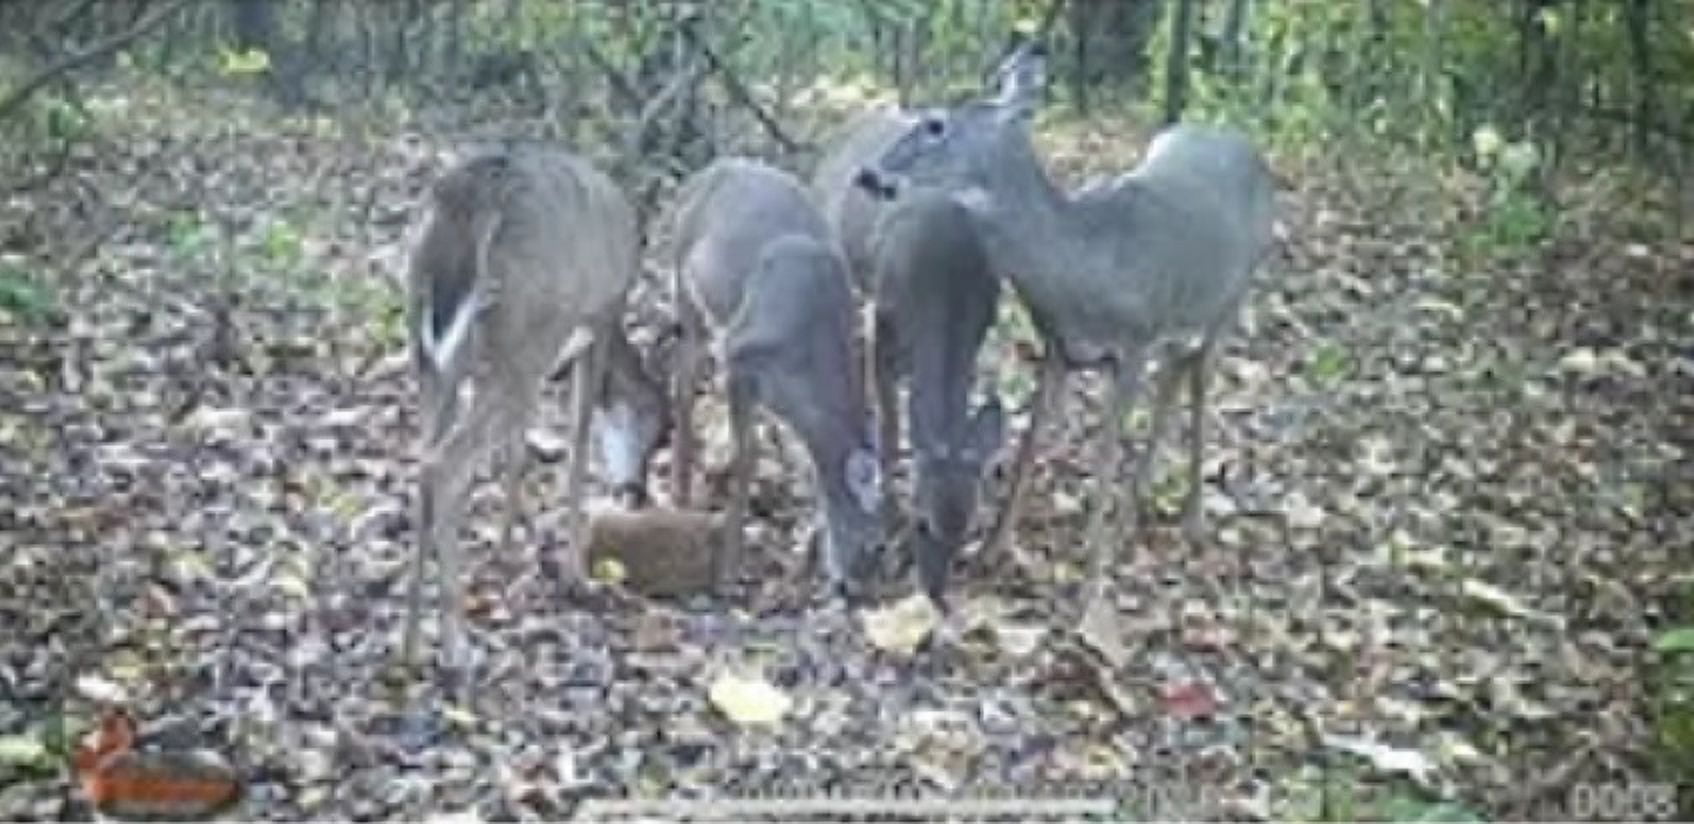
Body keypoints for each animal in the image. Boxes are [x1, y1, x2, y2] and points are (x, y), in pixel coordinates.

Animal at [404, 143, 668, 674]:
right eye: (659, 427)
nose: (637, 491)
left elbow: (518, 447)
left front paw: (506, 545)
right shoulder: (600, 314)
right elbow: (579, 439)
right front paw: (576, 576)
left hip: (437, 347)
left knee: (426, 457)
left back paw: (411, 643)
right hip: (527, 330)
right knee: (447, 461)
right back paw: (456, 648)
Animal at [668, 157, 883, 598]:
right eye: (877, 545)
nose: (854, 588)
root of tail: (704, 173)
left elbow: (807, 472)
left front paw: (801, 568)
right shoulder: (739, 355)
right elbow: (746, 457)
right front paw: (729, 573)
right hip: (684, 284)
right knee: (682, 385)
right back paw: (677, 494)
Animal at [857, 53, 1277, 622]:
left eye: (936, 124)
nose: (870, 175)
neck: (1083, 264)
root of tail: (1244, 144)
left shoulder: (1134, 344)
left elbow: (1102, 457)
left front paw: (1090, 586)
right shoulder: (1059, 346)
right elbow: (1030, 441)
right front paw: (993, 549)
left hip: (1230, 303)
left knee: (1198, 390)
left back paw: (1191, 521)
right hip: (1180, 327)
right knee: (1173, 387)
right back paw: (1130, 522)